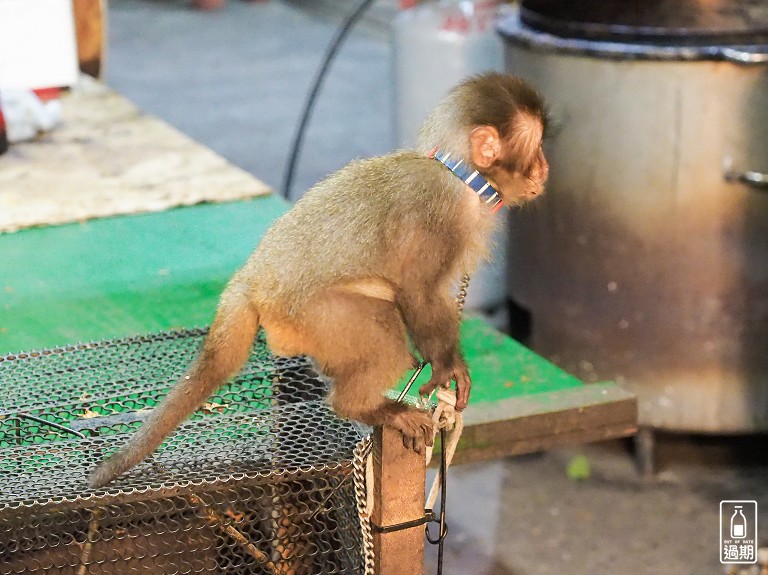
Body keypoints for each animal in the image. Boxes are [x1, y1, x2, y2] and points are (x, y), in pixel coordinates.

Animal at [88, 70, 544, 488]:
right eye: (536, 147)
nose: (544, 168)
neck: (459, 174)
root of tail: (251, 279)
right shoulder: (438, 213)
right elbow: (419, 290)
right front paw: (448, 367)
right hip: (311, 312)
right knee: (382, 334)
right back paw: (362, 406)